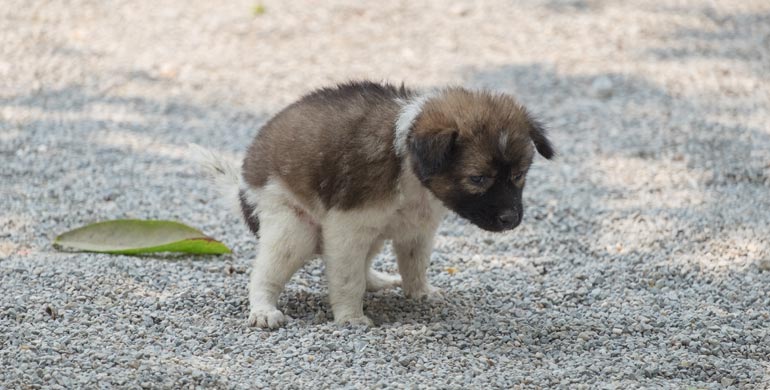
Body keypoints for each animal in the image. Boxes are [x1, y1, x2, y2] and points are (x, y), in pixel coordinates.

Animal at [192, 80, 552, 328]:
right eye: (478, 179)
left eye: (519, 175)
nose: (511, 219)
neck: (408, 164)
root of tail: (241, 190)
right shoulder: (347, 226)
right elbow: (346, 278)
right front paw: (350, 318)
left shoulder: (418, 229)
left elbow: (414, 265)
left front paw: (421, 293)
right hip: (291, 226)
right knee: (265, 274)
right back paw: (264, 310)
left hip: (374, 234)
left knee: (363, 262)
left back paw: (376, 281)